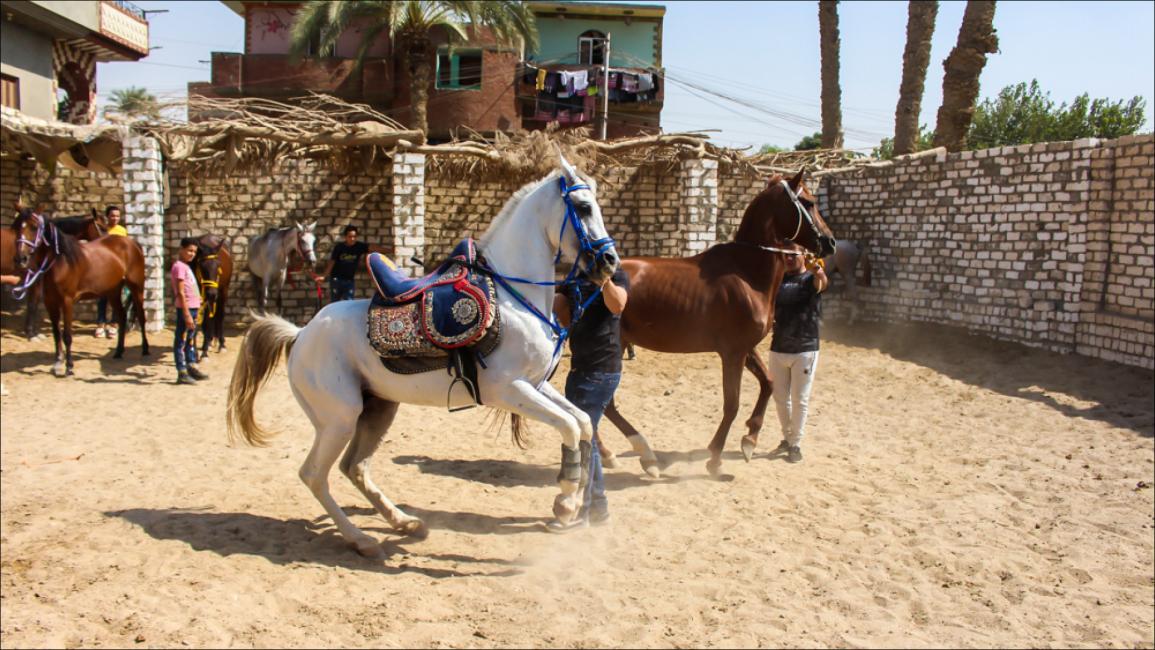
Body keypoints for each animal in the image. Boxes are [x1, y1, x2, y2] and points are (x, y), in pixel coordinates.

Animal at [11, 210, 148, 376]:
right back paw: (118, 352)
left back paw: (145, 350)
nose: (21, 259)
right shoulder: (50, 302)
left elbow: (67, 335)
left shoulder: (67, 301)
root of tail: (133, 243)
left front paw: (69, 366)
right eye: (17, 227)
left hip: (137, 287)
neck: (61, 262)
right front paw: (58, 363)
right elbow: (56, 334)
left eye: (34, 227)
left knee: (141, 316)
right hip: (113, 291)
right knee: (121, 317)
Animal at [227, 154, 623, 556]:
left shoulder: (536, 384)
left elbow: (582, 422)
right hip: (339, 419)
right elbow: (569, 425)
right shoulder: (509, 390)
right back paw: (362, 539)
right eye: (584, 207)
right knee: (314, 475)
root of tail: (300, 335)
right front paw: (566, 503)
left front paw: (570, 499)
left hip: (378, 410)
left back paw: (405, 522)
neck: (513, 297)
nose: (610, 261)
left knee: (354, 467)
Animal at [600, 170, 836, 477]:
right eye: (808, 202)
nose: (830, 242)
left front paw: (750, 439)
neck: (746, 274)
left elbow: (769, 383)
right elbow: (732, 404)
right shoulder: (732, 353)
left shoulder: (746, 349)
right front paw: (715, 458)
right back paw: (642, 456)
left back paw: (616, 455)